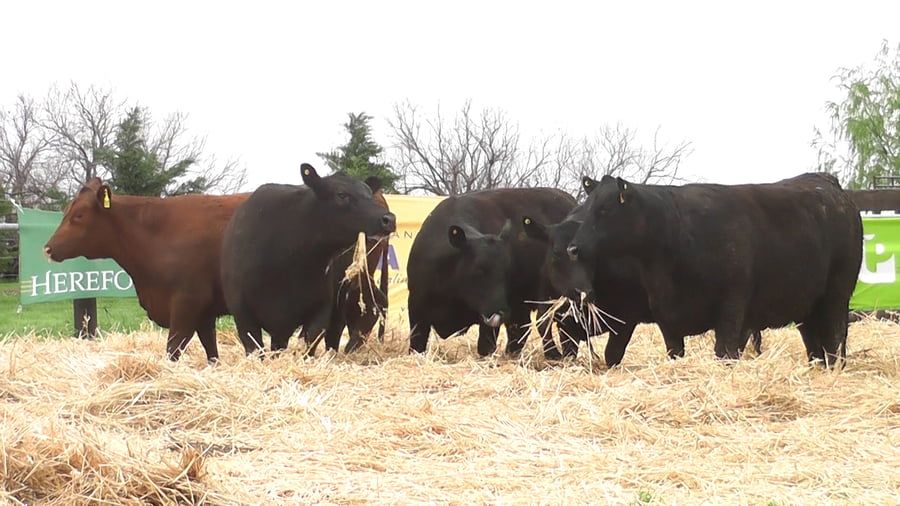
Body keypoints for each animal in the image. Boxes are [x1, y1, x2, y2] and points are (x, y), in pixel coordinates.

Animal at [43, 178, 249, 365]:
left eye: (79, 215)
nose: (47, 248)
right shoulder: (204, 312)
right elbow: (211, 351)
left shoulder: (189, 301)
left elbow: (173, 348)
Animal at [220, 163, 396, 356]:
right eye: (341, 194)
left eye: (368, 193)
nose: (389, 219)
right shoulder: (242, 313)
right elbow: (256, 349)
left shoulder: (321, 310)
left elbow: (309, 345)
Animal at [406, 187, 579, 358]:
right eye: (478, 270)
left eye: (506, 272)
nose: (501, 311)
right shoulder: (416, 310)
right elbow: (416, 346)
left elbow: (485, 347)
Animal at [567, 173, 862, 366]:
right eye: (586, 206)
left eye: (604, 209)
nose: (572, 248)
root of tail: (827, 183)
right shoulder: (666, 317)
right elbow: (674, 352)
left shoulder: (732, 308)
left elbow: (725, 352)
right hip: (806, 304)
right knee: (813, 341)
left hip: (836, 295)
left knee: (835, 337)